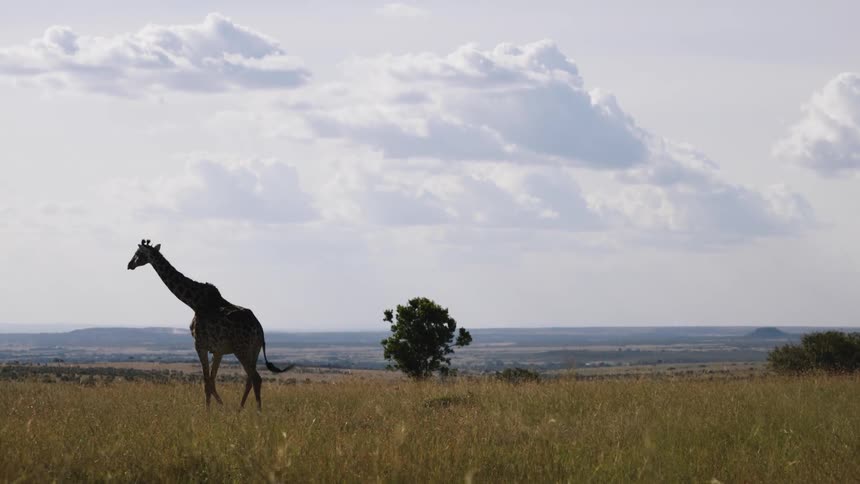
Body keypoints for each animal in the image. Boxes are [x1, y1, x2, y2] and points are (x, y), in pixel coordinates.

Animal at [127, 239, 293, 410]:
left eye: (138, 253)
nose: (129, 264)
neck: (194, 302)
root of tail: (260, 330)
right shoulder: (218, 350)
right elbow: (212, 381)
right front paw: (220, 407)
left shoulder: (200, 345)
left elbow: (206, 382)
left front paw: (209, 411)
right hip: (254, 350)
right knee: (250, 379)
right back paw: (240, 409)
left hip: (242, 349)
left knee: (256, 378)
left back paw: (257, 411)